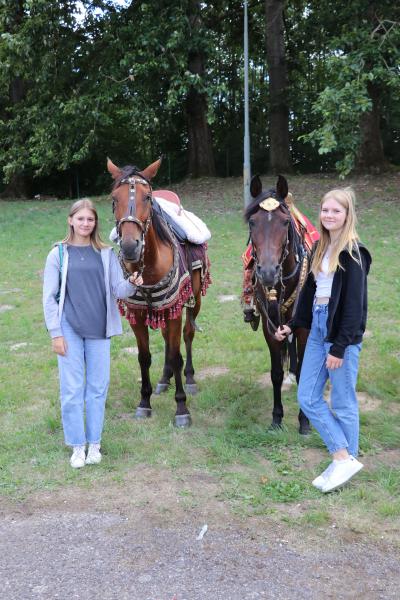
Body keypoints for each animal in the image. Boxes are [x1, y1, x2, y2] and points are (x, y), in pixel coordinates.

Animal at [107, 157, 211, 427]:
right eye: (114, 198)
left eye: (147, 197)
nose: (130, 247)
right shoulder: (137, 315)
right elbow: (144, 356)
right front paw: (144, 402)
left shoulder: (175, 308)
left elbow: (176, 354)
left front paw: (182, 408)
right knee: (166, 339)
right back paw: (164, 379)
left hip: (194, 301)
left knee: (187, 334)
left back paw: (189, 378)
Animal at [244, 174, 311, 434]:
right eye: (253, 222)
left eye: (284, 222)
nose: (268, 272)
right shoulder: (270, 327)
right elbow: (275, 373)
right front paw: (276, 418)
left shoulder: (303, 327)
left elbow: (304, 369)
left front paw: (304, 421)